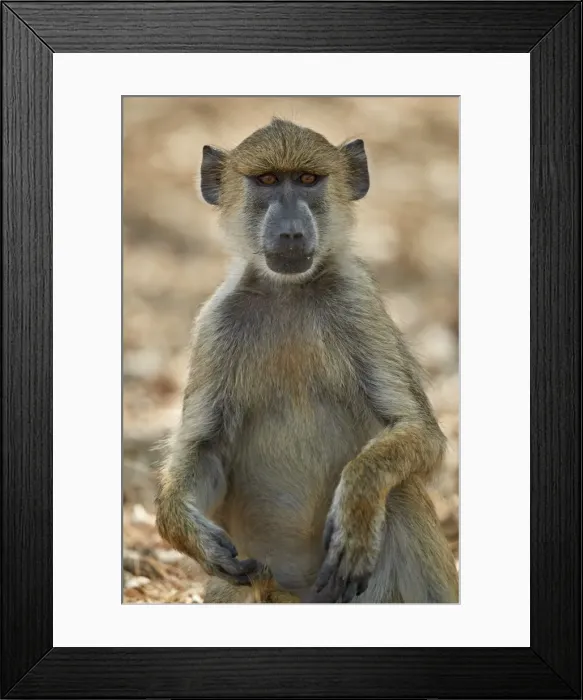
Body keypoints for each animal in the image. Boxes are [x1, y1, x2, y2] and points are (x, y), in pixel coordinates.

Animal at [156, 117, 458, 604]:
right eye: (266, 180)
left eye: (307, 179)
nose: (292, 232)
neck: (289, 292)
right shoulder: (216, 324)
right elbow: (205, 450)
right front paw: (190, 534)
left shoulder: (357, 303)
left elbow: (418, 432)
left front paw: (356, 510)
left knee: (400, 493)